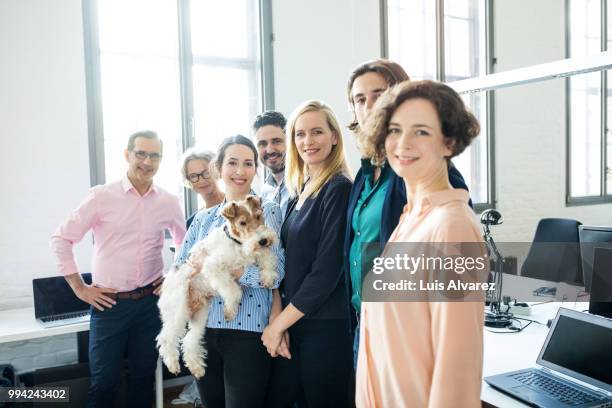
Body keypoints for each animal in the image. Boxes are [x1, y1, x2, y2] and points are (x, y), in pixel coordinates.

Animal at [155, 196, 278, 378]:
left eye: (258, 216)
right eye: (242, 222)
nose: (263, 240)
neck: (237, 243)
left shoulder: (255, 253)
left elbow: (269, 258)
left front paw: (268, 277)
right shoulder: (213, 267)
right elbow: (234, 291)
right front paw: (230, 310)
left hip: (200, 315)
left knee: (189, 340)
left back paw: (197, 367)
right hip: (178, 311)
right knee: (166, 338)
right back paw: (173, 364)